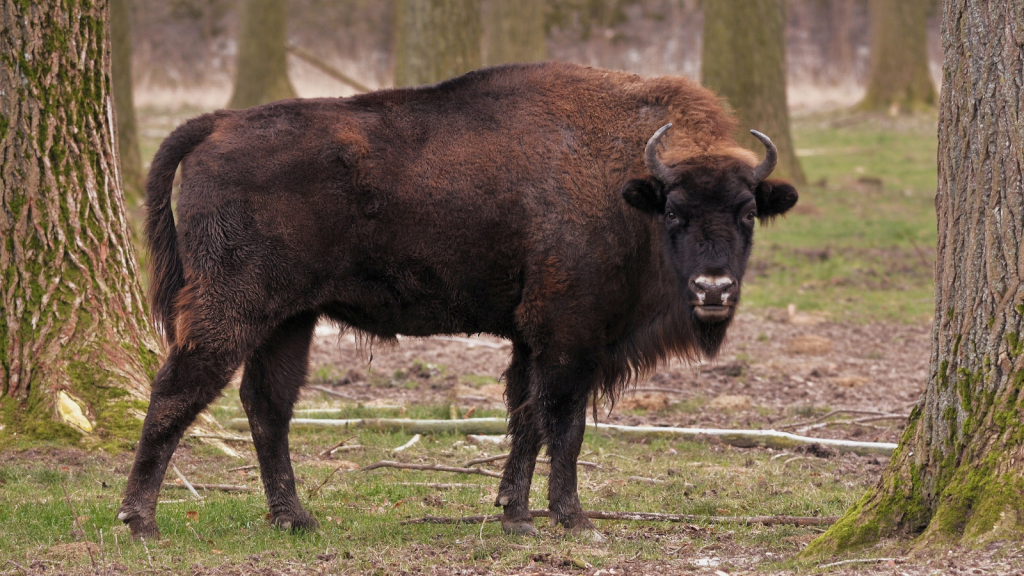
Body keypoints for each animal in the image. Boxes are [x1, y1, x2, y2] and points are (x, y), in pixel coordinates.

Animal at [119, 62, 798, 537]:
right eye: (676, 212)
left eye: (747, 214)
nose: (714, 289)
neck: (630, 187)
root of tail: (219, 122)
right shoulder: (568, 336)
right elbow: (565, 424)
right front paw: (573, 519)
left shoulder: (530, 339)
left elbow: (526, 420)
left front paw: (515, 516)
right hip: (233, 306)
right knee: (178, 389)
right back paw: (140, 519)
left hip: (290, 319)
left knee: (267, 405)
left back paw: (295, 518)